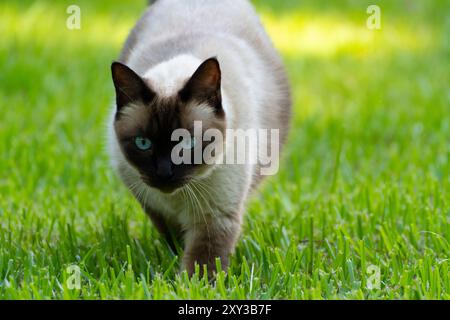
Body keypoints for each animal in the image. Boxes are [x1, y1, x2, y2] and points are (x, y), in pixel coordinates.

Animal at [107, 0, 290, 276]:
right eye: (143, 143)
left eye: (187, 143)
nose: (164, 174)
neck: (178, 197)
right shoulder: (151, 202)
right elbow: (175, 237)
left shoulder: (215, 216)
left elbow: (203, 264)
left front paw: (190, 283)